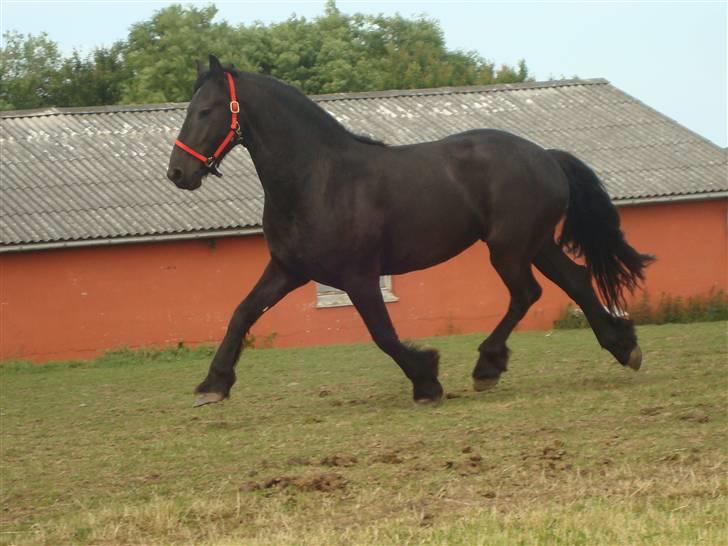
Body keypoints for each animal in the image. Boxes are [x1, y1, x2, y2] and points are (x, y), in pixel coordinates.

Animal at [166, 56, 656, 404]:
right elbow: (242, 313)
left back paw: (487, 367)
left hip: (508, 248)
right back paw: (622, 346)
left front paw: (427, 379)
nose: (178, 173)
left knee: (527, 294)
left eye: (205, 110)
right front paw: (213, 384)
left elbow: (383, 334)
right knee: (576, 280)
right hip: (534, 245)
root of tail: (547, 156)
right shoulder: (288, 269)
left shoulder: (359, 277)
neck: (318, 179)